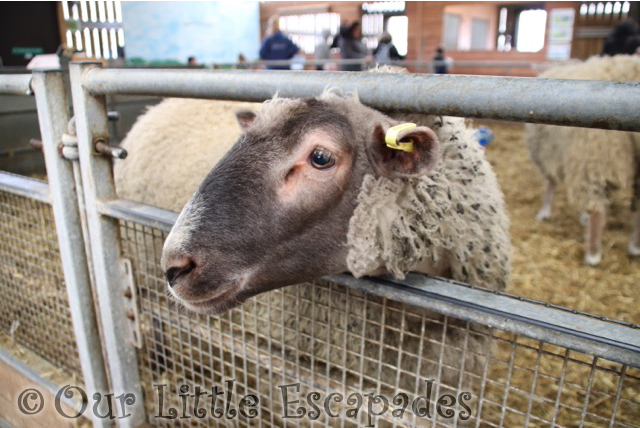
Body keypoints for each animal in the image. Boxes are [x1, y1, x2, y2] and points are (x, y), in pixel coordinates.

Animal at [524, 55, 640, 266]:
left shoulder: (547, 152)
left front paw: (544, 212)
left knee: (597, 207)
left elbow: (550, 183)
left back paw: (593, 255)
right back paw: (635, 247)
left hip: (594, 154)